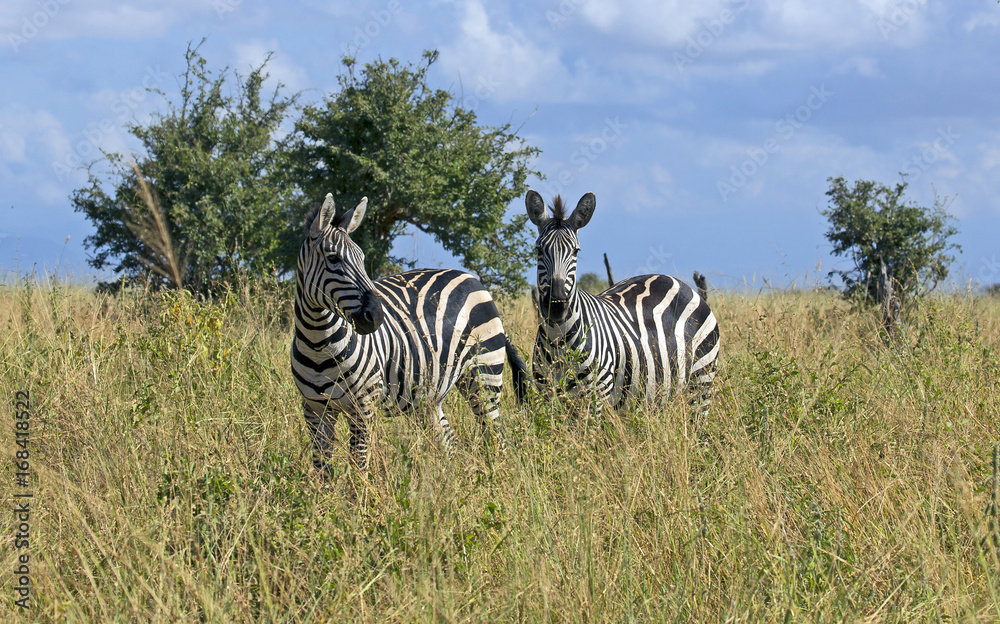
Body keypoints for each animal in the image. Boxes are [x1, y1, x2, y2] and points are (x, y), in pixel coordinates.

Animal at [291, 193, 528, 472]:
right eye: (333, 259)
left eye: (362, 259)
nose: (377, 316)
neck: (319, 344)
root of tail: (474, 280)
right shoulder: (314, 410)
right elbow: (322, 469)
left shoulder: (363, 406)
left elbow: (359, 465)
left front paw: (359, 486)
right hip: (430, 395)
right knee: (449, 441)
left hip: (483, 374)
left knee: (495, 437)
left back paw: (496, 476)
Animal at [525, 190, 719, 418]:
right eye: (539, 250)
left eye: (576, 251)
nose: (556, 306)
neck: (558, 342)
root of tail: (677, 281)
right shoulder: (550, 400)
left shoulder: (596, 400)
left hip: (701, 381)